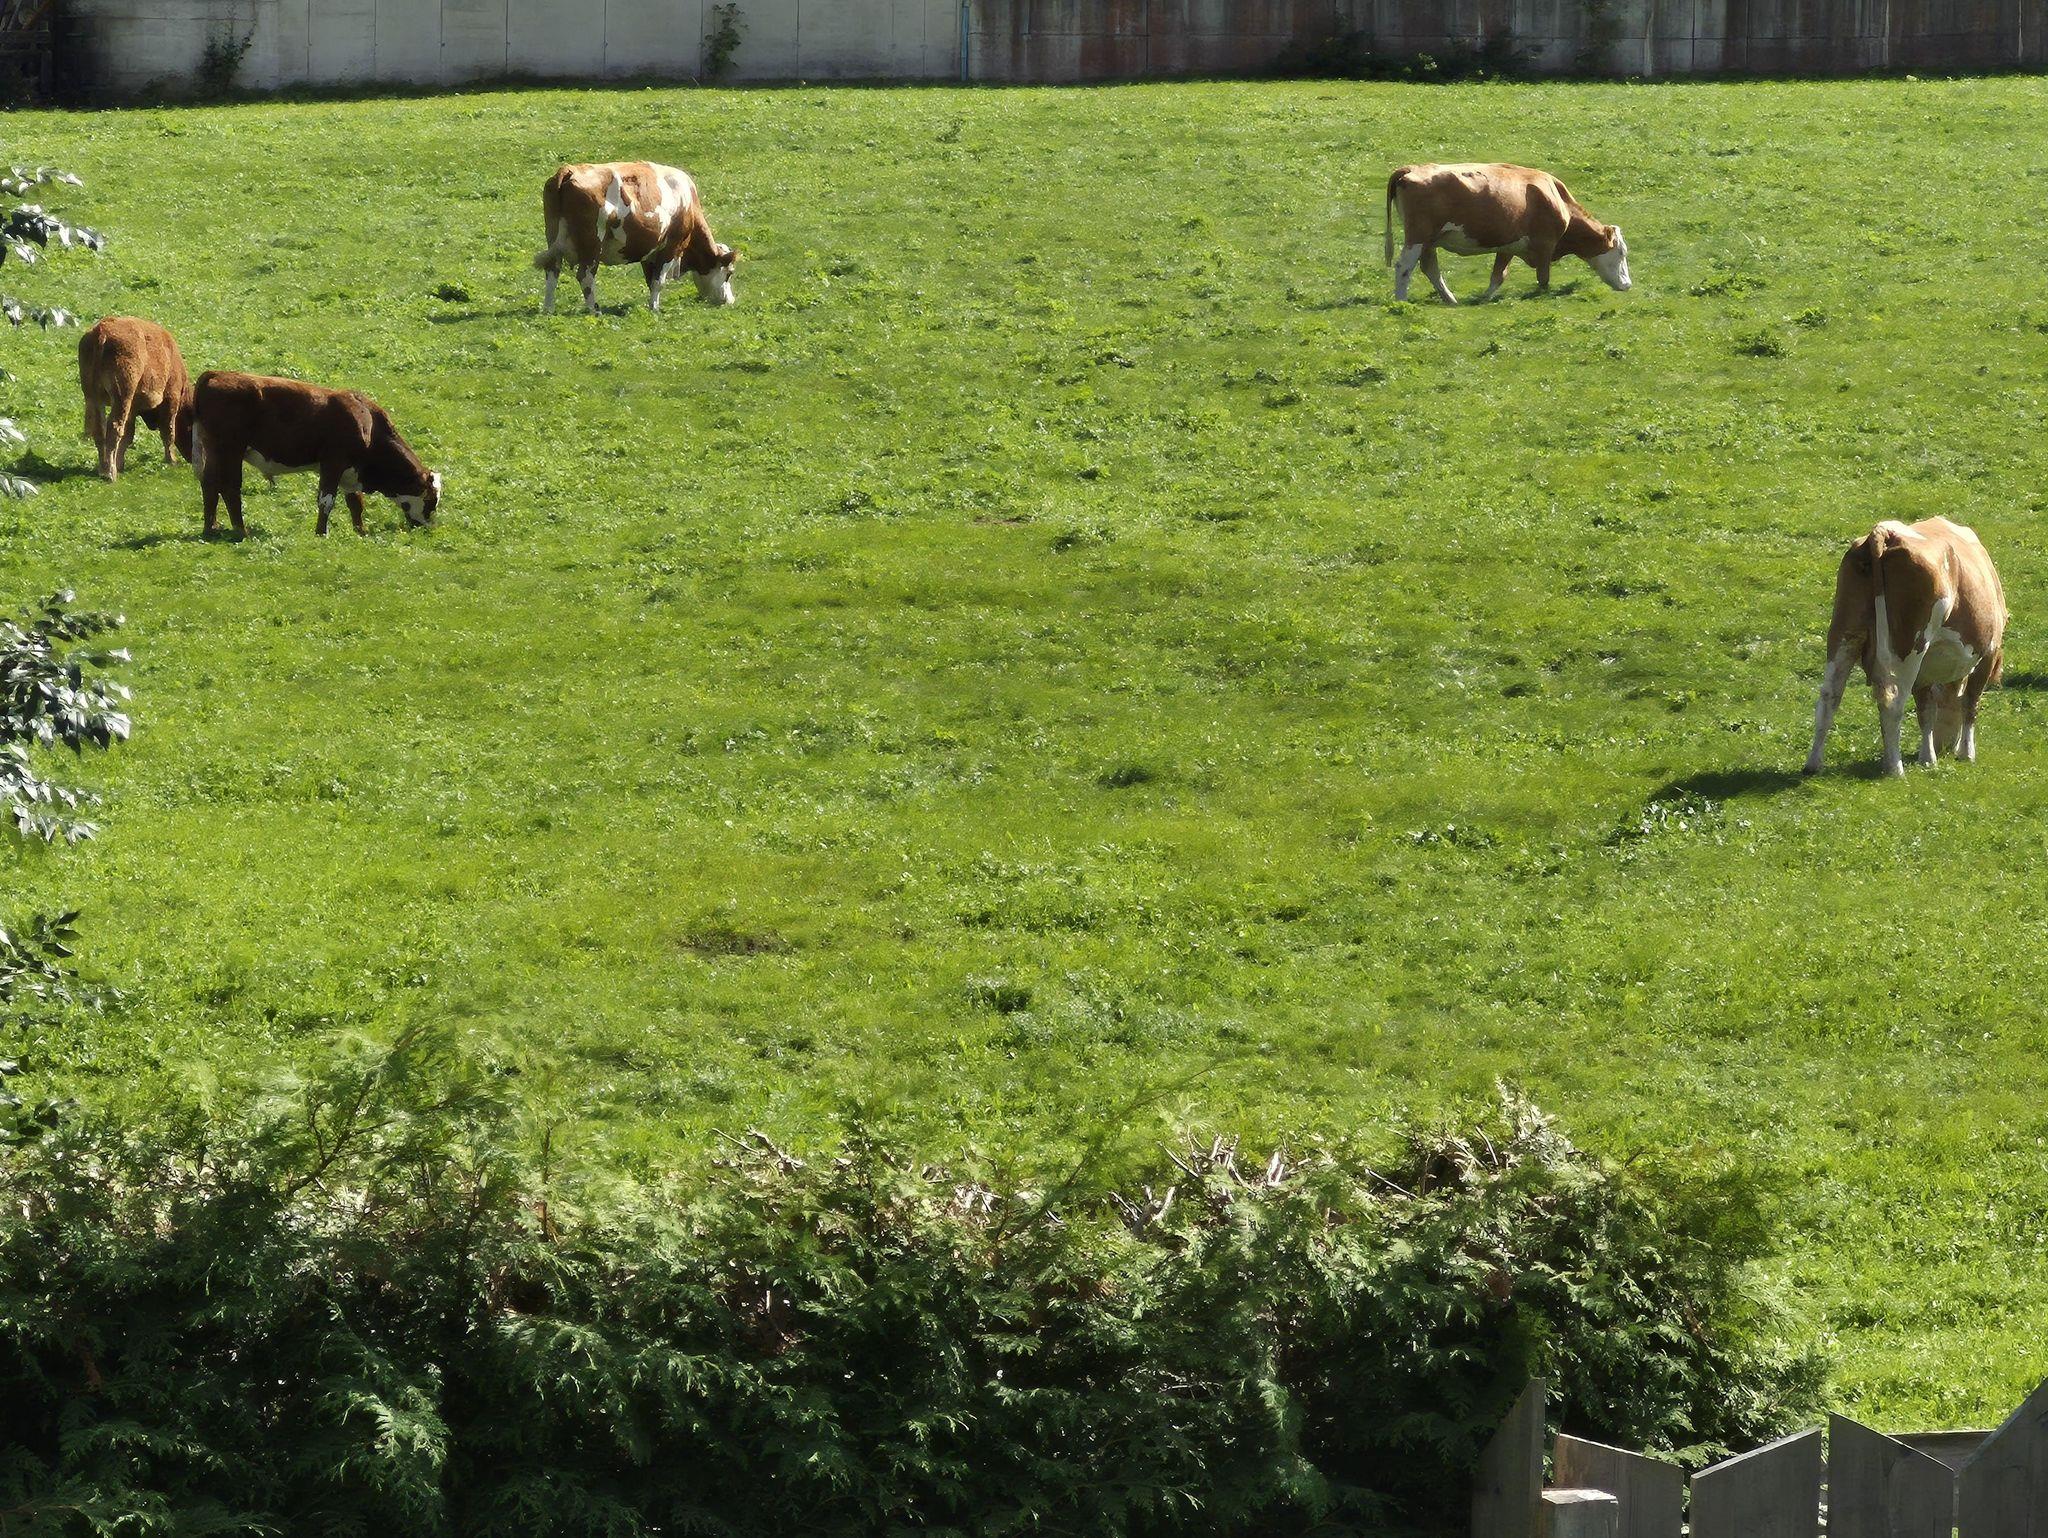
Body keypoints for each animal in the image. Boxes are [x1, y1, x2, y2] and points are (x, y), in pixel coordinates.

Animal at [78, 316, 194, 481]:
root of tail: (102, 331)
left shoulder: (132, 409)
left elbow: (128, 435)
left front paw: (120, 464)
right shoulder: (171, 398)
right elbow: (168, 431)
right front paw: (171, 460)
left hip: (93, 397)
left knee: (100, 429)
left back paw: (103, 469)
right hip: (122, 395)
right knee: (114, 427)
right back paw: (110, 473)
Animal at [190, 371, 440, 539]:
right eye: (431, 500)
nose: (430, 527)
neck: (366, 422)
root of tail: (217, 374)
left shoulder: (350, 471)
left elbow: (355, 503)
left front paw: (360, 530)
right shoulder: (333, 463)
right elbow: (326, 500)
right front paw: (321, 532)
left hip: (212, 450)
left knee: (210, 484)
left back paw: (211, 527)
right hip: (230, 449)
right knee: (230, 488)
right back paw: (241, 530)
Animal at [535, 161, 737, 315]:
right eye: (729, 273)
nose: (730, 300)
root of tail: (569, 170)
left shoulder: (650, 251)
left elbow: (650, 280)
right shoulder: (671, 246)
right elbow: (658, 281)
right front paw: (655, 309)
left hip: (553, 237)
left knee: (552, 270)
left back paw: (548, 309)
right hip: (592, 243)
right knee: (585, 275)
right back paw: (595, 310)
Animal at [1383, 163, 1631, 304]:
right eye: (1621, 253)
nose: (1628, 285)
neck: (1556, 199)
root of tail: (1411, 169)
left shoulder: (1508, 245)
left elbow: (1498, 275)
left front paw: (1484, 298)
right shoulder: (1545, 244)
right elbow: (1543, 278)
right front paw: (1541, 295)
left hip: (1429, 241)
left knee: (1430, 268)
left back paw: (1450, 299)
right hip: (1417, 236)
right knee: (1404, 267)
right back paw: (1401, 300)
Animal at [1804, 517, 2006, 778]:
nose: (1945, 748)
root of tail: (1885, 532)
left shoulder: (1925, 669)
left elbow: (1926, 710)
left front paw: (1928, 758)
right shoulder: (1989, 651)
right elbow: (1970, 703)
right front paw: (1965, 753)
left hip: (1844, 633)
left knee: (1829, 696)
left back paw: (1813, 764)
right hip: (1907, 647)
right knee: (1892, 700)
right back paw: (1895, 768)